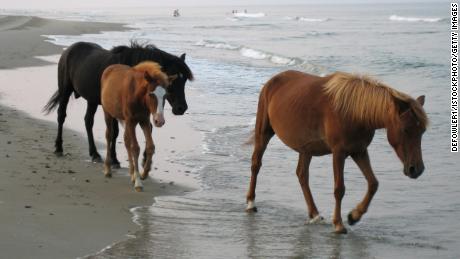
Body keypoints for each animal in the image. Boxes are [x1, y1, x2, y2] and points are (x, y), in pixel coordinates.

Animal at [42, 40, 192, 167]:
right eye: (172, 80)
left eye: (184, 80)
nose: (181, 108)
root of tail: (69, 50)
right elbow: (115, 132)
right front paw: (114, 160)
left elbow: (148, 127)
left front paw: (145, 159)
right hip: (65, 90)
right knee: (61, 116)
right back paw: (59, 148)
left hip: (92, 100)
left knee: (88, 121)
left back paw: (94, 153)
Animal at [101, 62, 175, 193]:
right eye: (151, 94)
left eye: (165, 95)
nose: (159, 121)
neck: (138, 97)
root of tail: (110, 67)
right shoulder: (131, 120)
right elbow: (135, 148)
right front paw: (138, 183)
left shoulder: (143, 120)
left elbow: (150, 146)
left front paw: (144, 173)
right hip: (108, 113)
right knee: (109, 136)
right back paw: (108, 169)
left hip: (131, 122)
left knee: (126, 140)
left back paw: (131, 174)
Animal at [246, 70, 430, 234]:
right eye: (406, 130)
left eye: (422, 131)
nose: (416, 169)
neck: (355, 113)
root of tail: (273, 81)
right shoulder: (339, 153)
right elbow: (339, 189)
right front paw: (339, 224)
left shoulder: (359, 151)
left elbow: (373, 183)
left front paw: (354, 216)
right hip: (263, 133)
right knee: (256, 164)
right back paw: (250, 203)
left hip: (306, 148)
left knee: (302, 175)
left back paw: (314, 214)